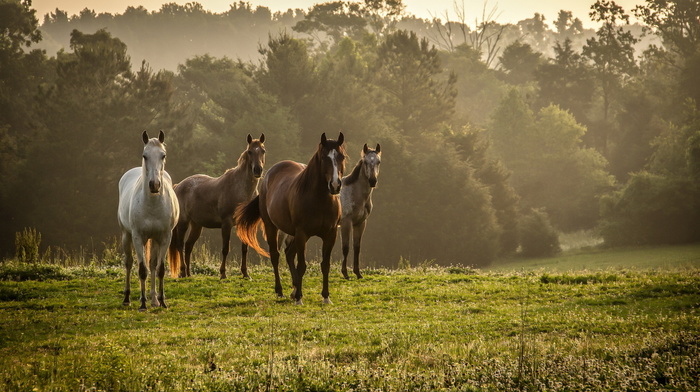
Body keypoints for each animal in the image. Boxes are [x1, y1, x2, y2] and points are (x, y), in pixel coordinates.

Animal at [117, 130, 179, 310]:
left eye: (163, 155)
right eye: (145, 156)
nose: (154, 185)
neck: (152, 205)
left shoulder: (165, 238)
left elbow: (159, 269)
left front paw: (162, 301)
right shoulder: (138, 237)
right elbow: (142, 270)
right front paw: (143, 303)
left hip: (155, 239)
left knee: (152, 264)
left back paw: (154, 299)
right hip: (126, 235)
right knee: (129, 263)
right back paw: (128, 298)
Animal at [169, 134, 266, 278]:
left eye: (263, 151)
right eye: (250, 152)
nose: (258, 170)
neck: (240, 190)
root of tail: (178, 186)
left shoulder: (243, 224)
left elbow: (245, 249)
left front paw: (245, 274)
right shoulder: (226, 224)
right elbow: (225, 249)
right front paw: (223, 274)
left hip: (196, 225)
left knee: (189, 245)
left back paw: (188, 273)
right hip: (183, 223)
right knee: (180, 245)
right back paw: (182, 271)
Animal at [235, 133, 344, 304]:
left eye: (342, 157)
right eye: (324, 158)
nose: (334, 185)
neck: (319, 200)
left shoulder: (330, 234)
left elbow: (325, 265)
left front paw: (326, 297)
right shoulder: (302, 234)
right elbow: (302, 266)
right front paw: (299, 297)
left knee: (289, 254)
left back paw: (294, 289)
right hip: (272, 227)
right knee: (276, 255)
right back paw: (281, 291)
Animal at [340, 142, 382, 280]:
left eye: (378, 161)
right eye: (365, 162)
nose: (373, 181)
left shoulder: (360, 223)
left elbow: (357, 247)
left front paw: (358, 273)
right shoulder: (346, 223)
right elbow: (345, 247)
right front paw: (345, 273)